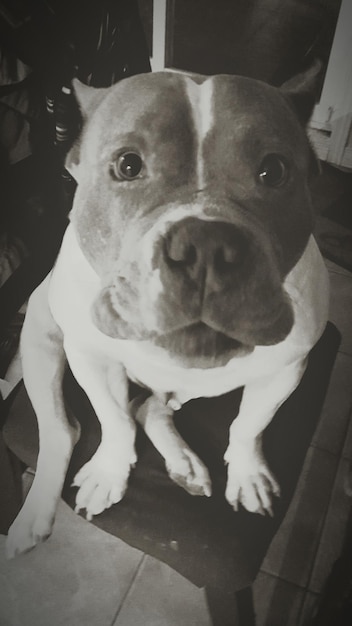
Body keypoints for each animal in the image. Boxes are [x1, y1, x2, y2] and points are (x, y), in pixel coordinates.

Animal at [6, 61, 330, 556]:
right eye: (127, 165)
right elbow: (113, 419)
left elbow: (250, 425)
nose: (206, 245)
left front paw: (248, 473)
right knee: (66, 429)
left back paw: (185, 465)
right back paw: (33, 516)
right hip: (43, 335)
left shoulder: (287, 369)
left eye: (273, 171)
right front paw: (109, 470)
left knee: (151, 408)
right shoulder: (91, 357)